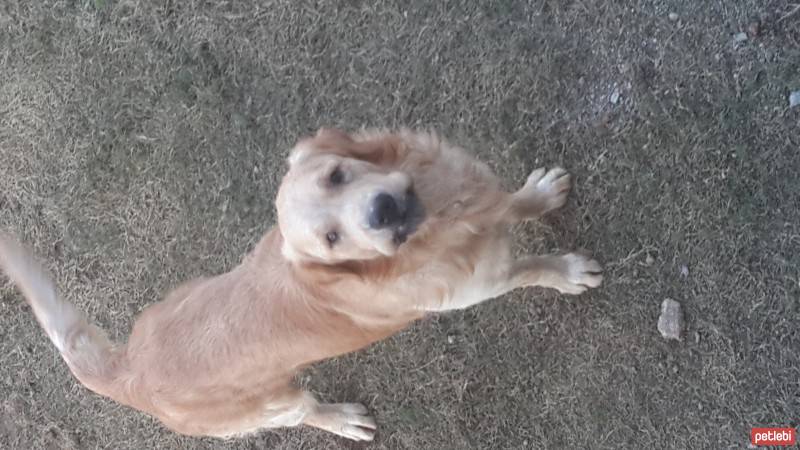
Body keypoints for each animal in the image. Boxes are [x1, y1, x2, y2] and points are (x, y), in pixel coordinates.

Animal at [0, 128, 600, 442]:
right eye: (332, 239)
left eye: (338, 174)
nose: (382, 211)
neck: (441, 224)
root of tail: (127, 370)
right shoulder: (483, 284)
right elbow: (533, 269)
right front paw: (568, 272)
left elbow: (513, 202)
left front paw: (538, 195)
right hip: (274, 405)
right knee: (306, 410)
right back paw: (344, 421)